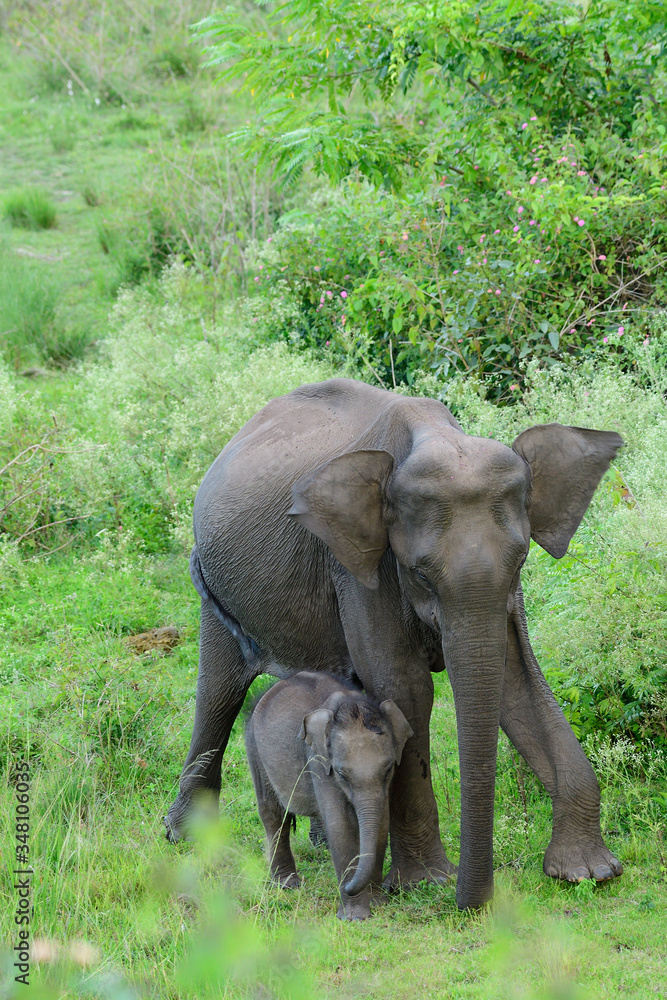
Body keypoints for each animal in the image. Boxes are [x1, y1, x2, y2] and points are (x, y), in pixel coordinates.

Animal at [245, 670, 413, 920]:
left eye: (389, 768)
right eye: (341, 774)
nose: (348, 886)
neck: (350, 703)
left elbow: (382, 824)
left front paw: (377, 903)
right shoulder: (318, 762)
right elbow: (340, 827)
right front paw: (354, 918)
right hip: (254, 748)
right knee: (273, 813)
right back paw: (287, 885)